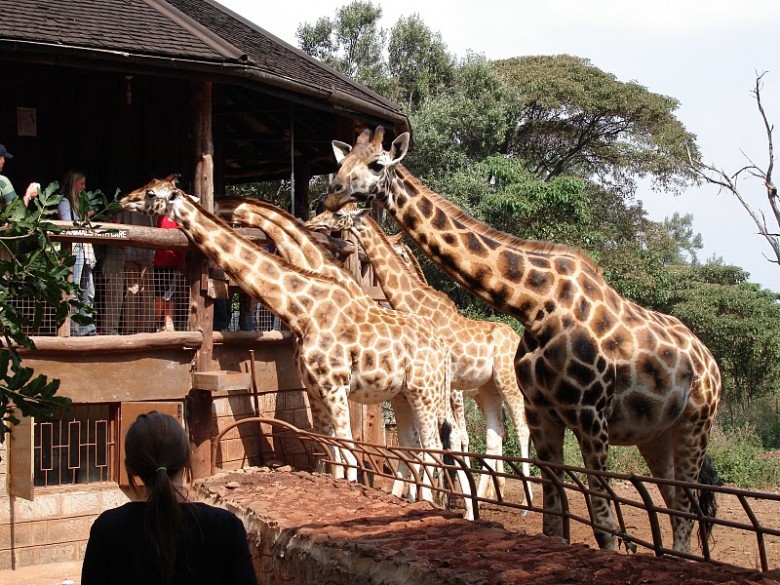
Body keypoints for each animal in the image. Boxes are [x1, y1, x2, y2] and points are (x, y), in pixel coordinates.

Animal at [212, 195, 476, 512]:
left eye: (226, 208)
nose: (313, 223)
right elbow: (328, 441)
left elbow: (348, 439)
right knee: (437, 441)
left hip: (434, 391)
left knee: (445, 440)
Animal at [308, 204, 532, 502]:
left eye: (337, 214)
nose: (312, 223)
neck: (418, 305)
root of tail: (516, 339)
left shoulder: (446, 386)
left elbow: (449, 438)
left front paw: (435, 495)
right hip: (487, 389)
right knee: (495, 437)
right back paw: (489, 494)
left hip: (508, 383)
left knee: (521, 429)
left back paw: (523, 501)